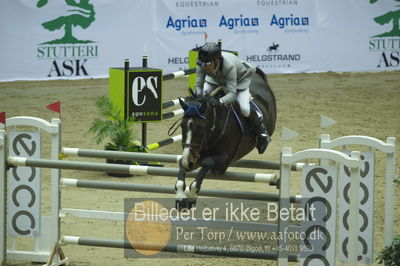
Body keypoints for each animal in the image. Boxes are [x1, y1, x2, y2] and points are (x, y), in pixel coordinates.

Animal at [175, 68, 278, 210]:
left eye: (200, 127)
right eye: (182, 125)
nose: (188, 161)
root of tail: (258, 77)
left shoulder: (223, 163)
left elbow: (207, 163)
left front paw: (191, 195)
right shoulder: (194, 157)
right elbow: (181, 163)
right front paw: (180, 195)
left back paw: (263, 141)